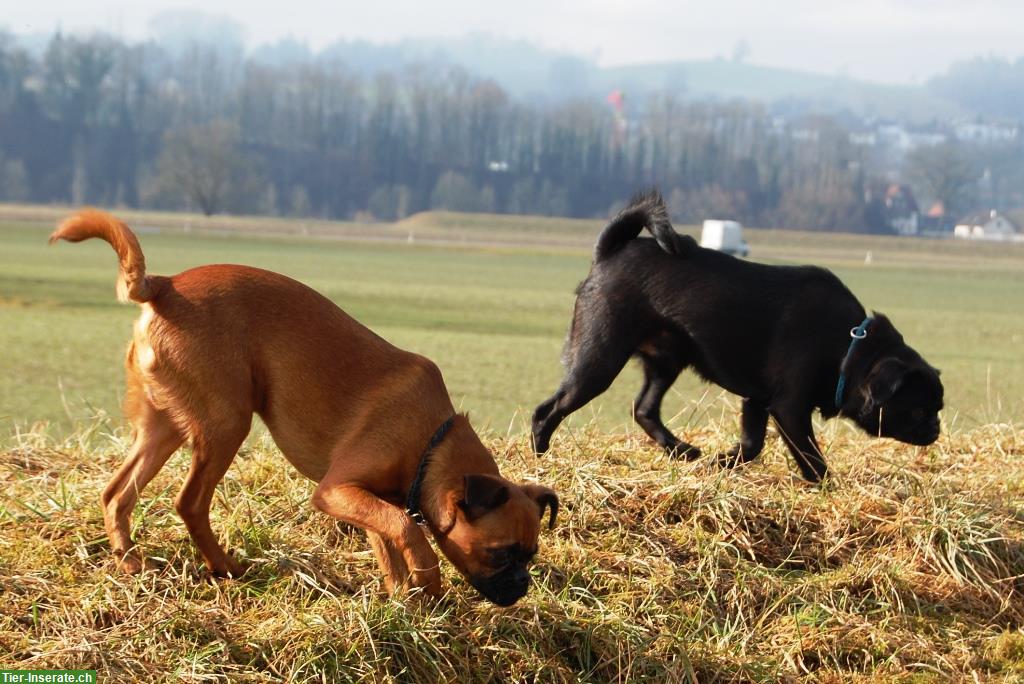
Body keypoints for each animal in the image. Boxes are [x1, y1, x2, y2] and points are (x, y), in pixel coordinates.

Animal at [49, 210, 561, 606]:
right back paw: (224, 567)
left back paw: (131, 563)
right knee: (190, 501)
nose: (521, 587)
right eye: (500, 552)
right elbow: (407, 530)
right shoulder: (336, 490)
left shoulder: (360, 498)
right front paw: (427, 581)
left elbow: (387, 540)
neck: (430, 442)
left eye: (531, 553)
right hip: (226, 423)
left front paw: (402, 599)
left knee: (116, 493)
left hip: (165, 427)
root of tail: (165, 287)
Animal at [536, 189, 942, 483]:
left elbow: (752, 444)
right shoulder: (789, 408)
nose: (935, 429)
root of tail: (608, 254)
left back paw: (681, 451)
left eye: (935, 410)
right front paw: (827, 484)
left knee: (644, 409)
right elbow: (810, 457)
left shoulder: (758, 401)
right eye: (919, 409)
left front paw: (722, 462)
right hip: (598, 360)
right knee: (548, 411)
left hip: (666, 360)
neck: (850, 348)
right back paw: (540, 459)